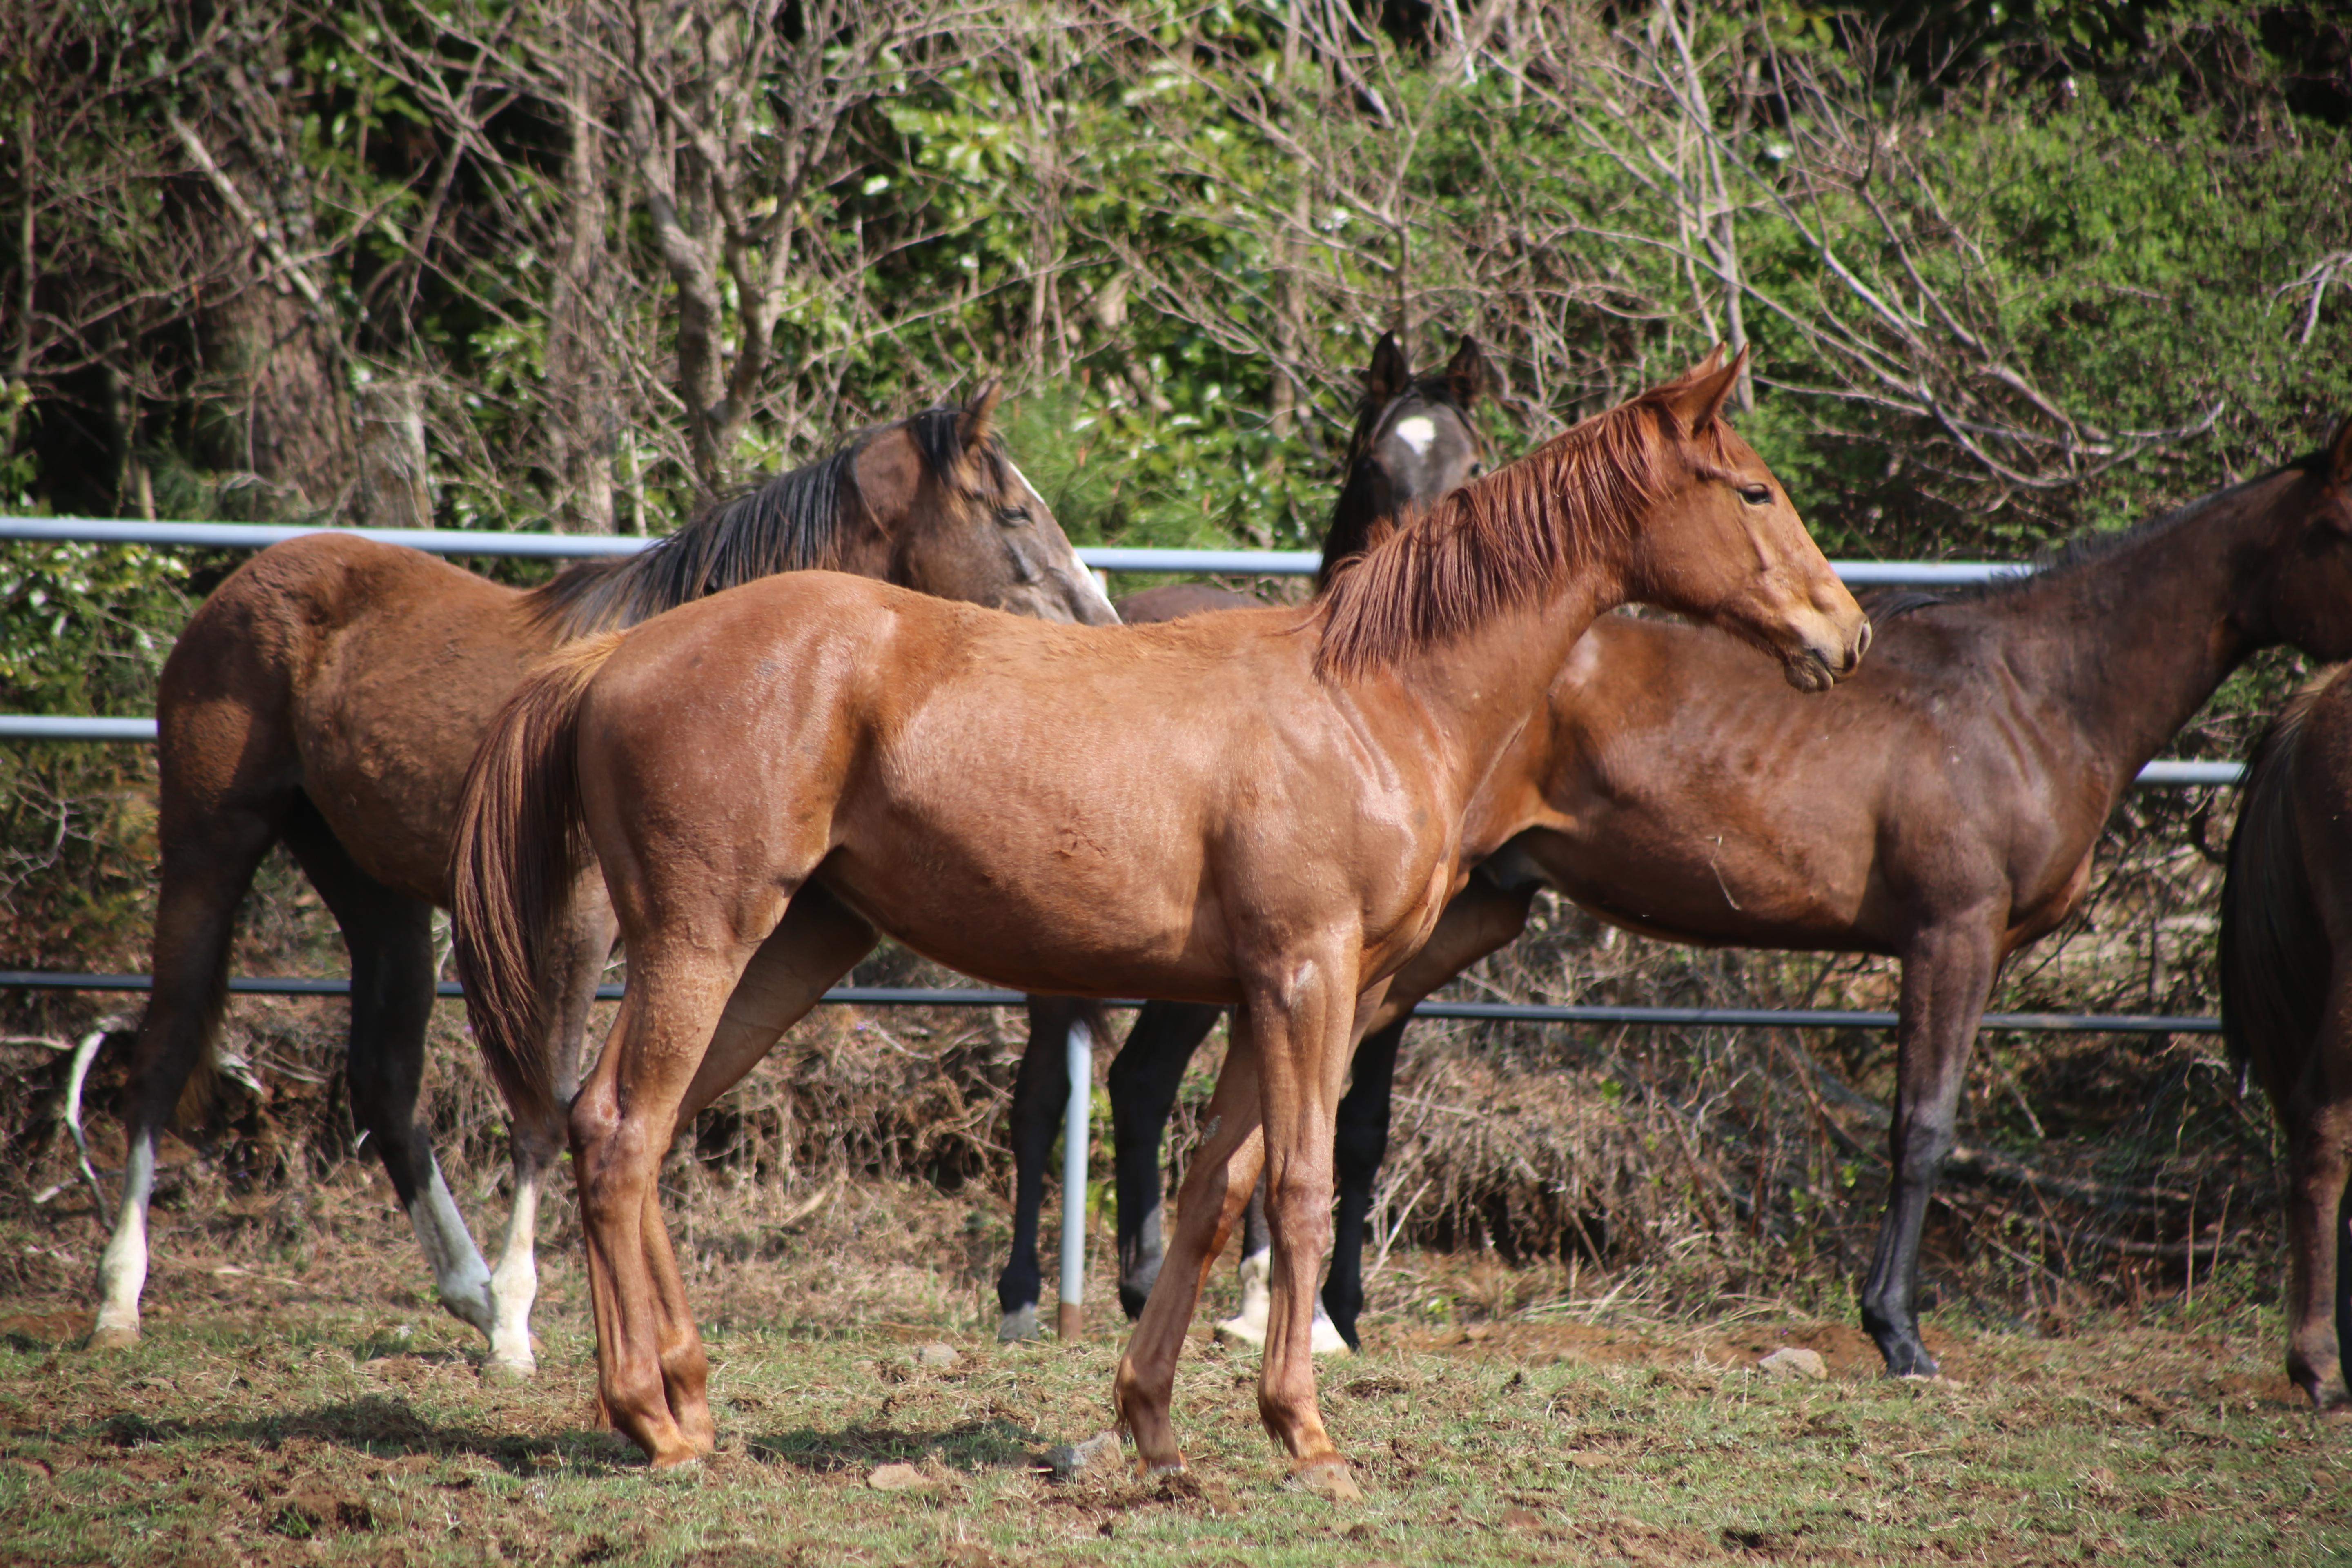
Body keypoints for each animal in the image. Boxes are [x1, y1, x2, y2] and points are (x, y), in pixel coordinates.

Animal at [94, 383, 1110, 1373]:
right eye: (1014, 511)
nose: (1100, 622)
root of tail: (245, 584)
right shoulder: (574, 926)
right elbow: (551, 1103)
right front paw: (518, 1325)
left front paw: (520, 1312)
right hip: (210, 848)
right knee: (164, 1053)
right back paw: (120, 1296)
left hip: (374, 892)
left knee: (383, 1084)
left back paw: (463, 1288)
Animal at [449, 352, 1862, 1486]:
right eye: (1752, 492)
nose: (1842, 635)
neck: (1371, 695)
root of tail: (611, 659)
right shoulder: (1307, 979)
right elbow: (1299, 1191)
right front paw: (1306, 1433)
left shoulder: (1280, 996)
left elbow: (1211, 1191)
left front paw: (1153, 1422)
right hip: (704, 937)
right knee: (620, 1129)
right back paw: (650, 1419)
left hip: (796, 945)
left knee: (642, 1128)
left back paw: (688, 1392)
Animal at [1105, 414, 2352, 1373]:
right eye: (2338, 529)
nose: (1839, 639)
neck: (2030, 694)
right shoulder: (1952, 935)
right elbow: (1922, 1127)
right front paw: (1896, 1333)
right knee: (1163, 1073)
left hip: (1448, 920)